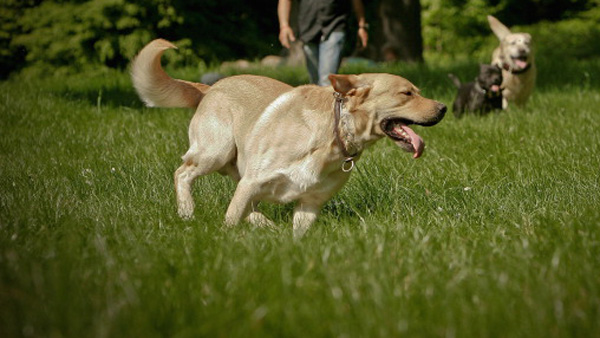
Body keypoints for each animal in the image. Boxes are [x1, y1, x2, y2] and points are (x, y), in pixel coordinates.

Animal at [131, 39, 446, 238]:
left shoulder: (310, 203)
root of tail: (211, 87)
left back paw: (265, 225)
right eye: (407, 93)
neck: (332, 134)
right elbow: (231, 219)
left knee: (248, 207)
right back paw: (186, 211)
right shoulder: (253, 181)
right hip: (215, 152)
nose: (443, 108)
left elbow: (297, 233)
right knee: (183, 173)